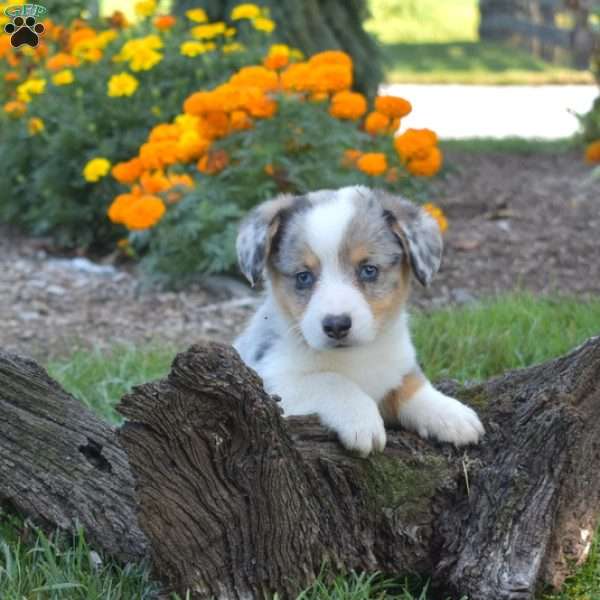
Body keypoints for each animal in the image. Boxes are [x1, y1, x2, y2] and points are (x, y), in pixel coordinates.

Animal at [234, 185, 482, 458]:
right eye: (303, 276)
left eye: (368, 270)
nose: (336, 325)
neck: (355, 357)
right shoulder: (270, 379)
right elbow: (329, 380)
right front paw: (362, 422)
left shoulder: (397, 365)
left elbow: (413, 385)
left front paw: (452, 415)